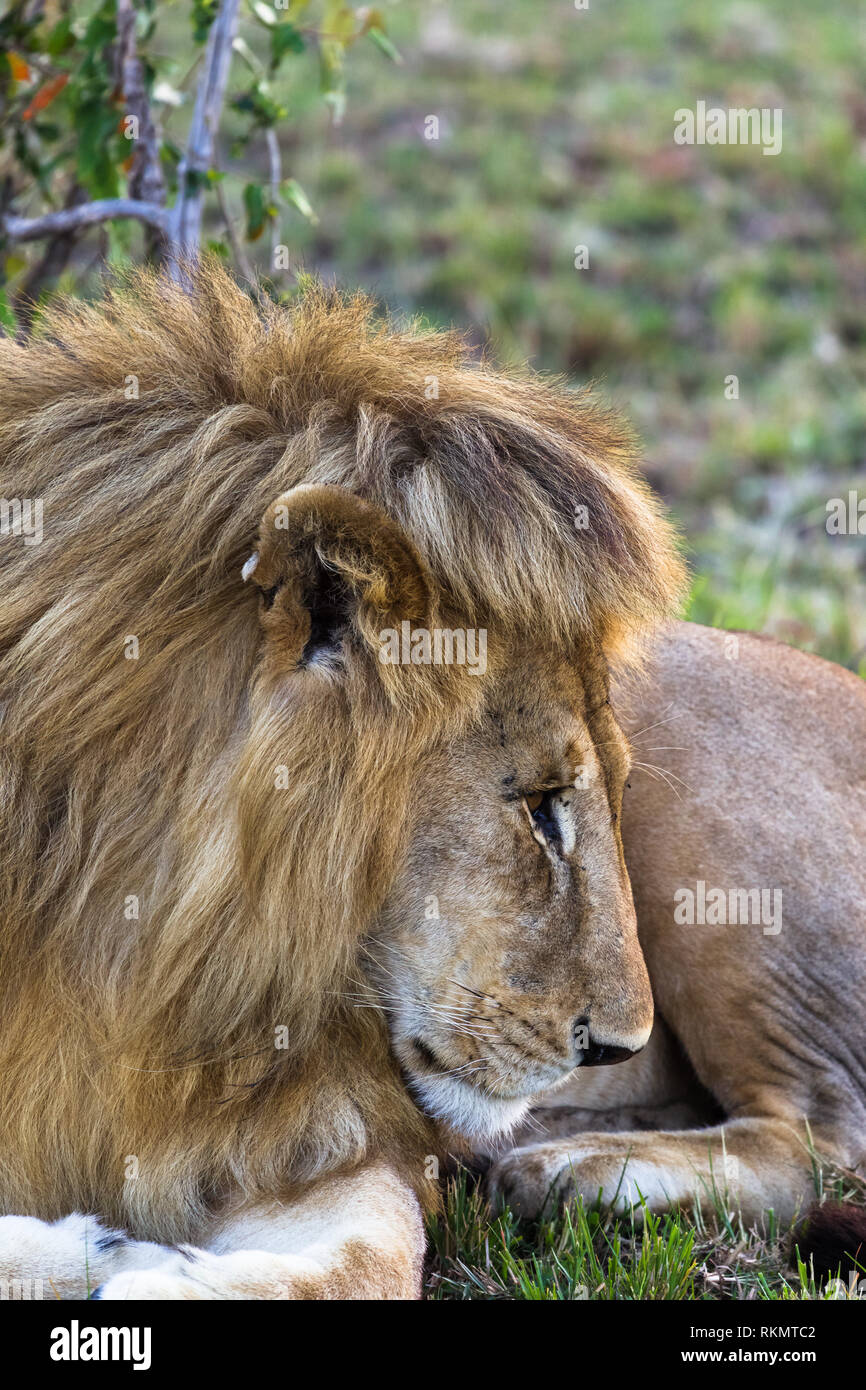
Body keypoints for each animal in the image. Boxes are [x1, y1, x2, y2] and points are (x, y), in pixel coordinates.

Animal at [0, 263, 863, 1299]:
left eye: (598, 798)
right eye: (539, 807)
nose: (615, 1048)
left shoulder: (314, 1134)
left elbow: (372, 1256)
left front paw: (141, 1272)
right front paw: (92, 1252)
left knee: (823, 1138)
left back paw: (580, 1169)